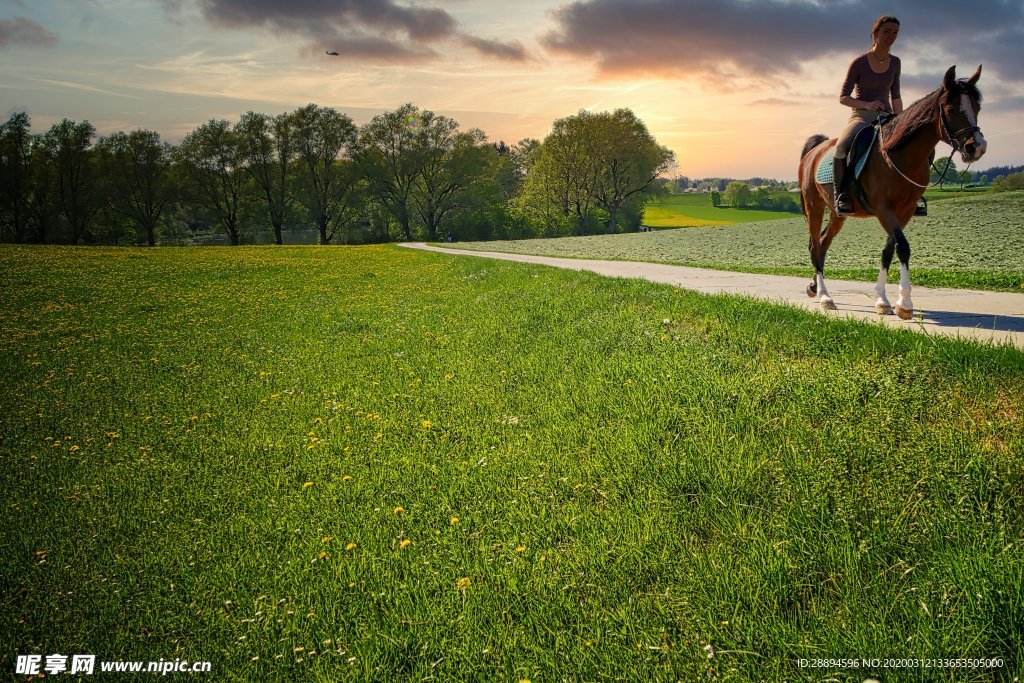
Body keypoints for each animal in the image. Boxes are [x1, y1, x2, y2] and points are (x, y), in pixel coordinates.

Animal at [798, 65, 983, 319]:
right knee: (815, 245)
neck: (899, 154)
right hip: (814, 206)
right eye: (950, 108)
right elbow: (902, 247)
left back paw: (814, 288)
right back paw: (825, 297)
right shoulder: (884, 209)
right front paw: (904, 303)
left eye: (977, 108)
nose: (976, 147)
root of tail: (814, 151)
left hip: (837, 213)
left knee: (824, 243)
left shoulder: (904, 211)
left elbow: (888, 250)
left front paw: (882, 300)